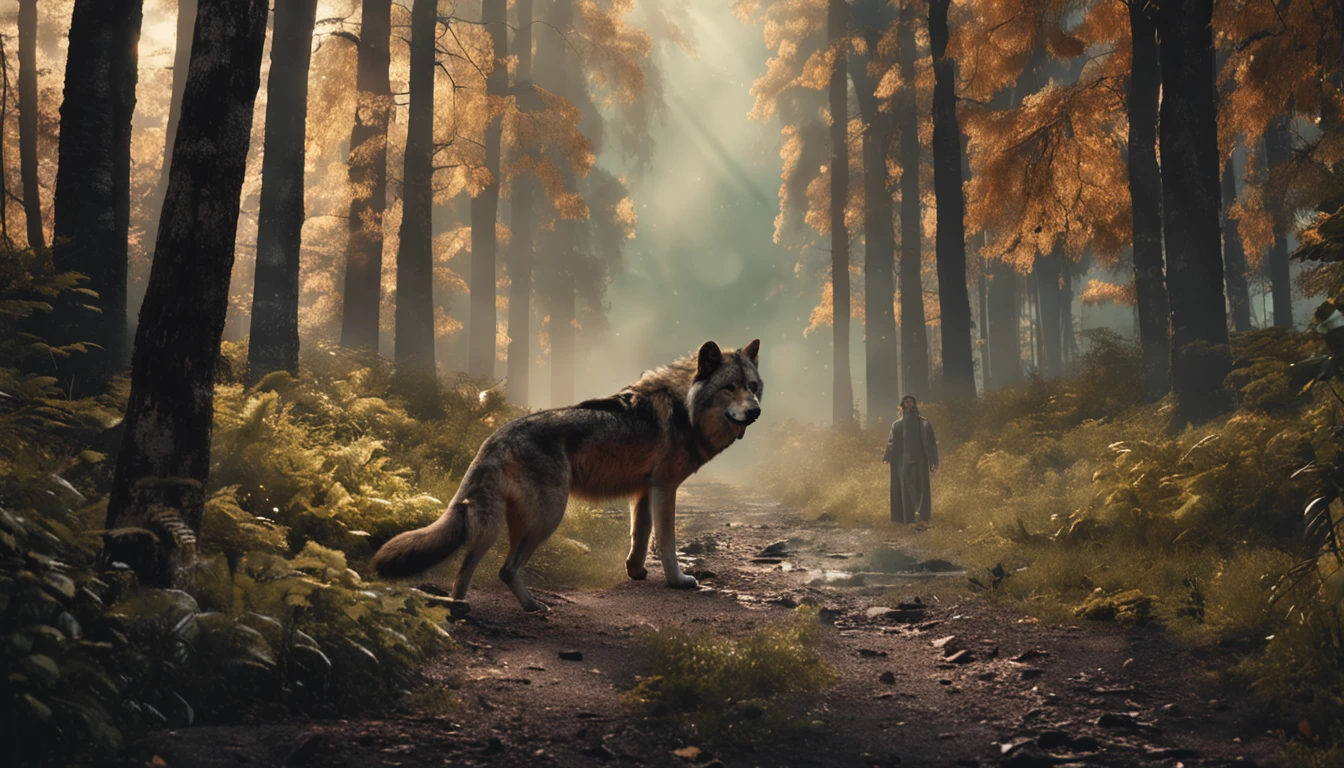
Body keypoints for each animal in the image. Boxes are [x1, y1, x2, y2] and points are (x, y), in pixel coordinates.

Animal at [373, 337, 763, 613]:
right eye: (730, 387)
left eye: (753, 386)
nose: (756, 412)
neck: (687, 409)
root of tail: (496, 437)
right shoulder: (665, 488)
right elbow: (666, 541)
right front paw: (678, 580)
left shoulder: (643, 491)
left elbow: (639, 538)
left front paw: (636, 572)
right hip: (548, 516)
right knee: (506, 569)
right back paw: (533, 607)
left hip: (497, 526)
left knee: (465, 570)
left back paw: (461, 610)